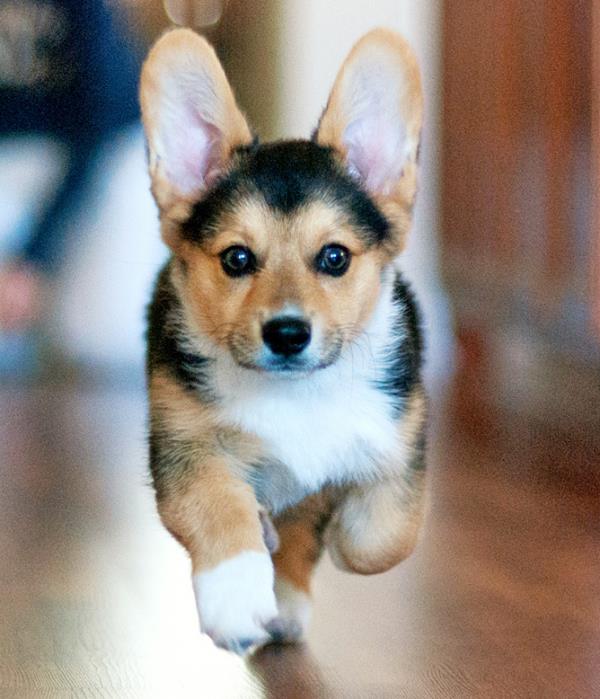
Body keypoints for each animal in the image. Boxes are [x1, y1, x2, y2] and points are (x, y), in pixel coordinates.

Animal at [141, 27, 426, 656]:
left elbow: (383, 537)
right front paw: (236, 598)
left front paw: (340, 532)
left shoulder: (401, 434)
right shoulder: (187, 443)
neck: (298, 393)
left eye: (335, 257)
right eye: (237, 259)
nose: (288, 333)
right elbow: (221, 508)